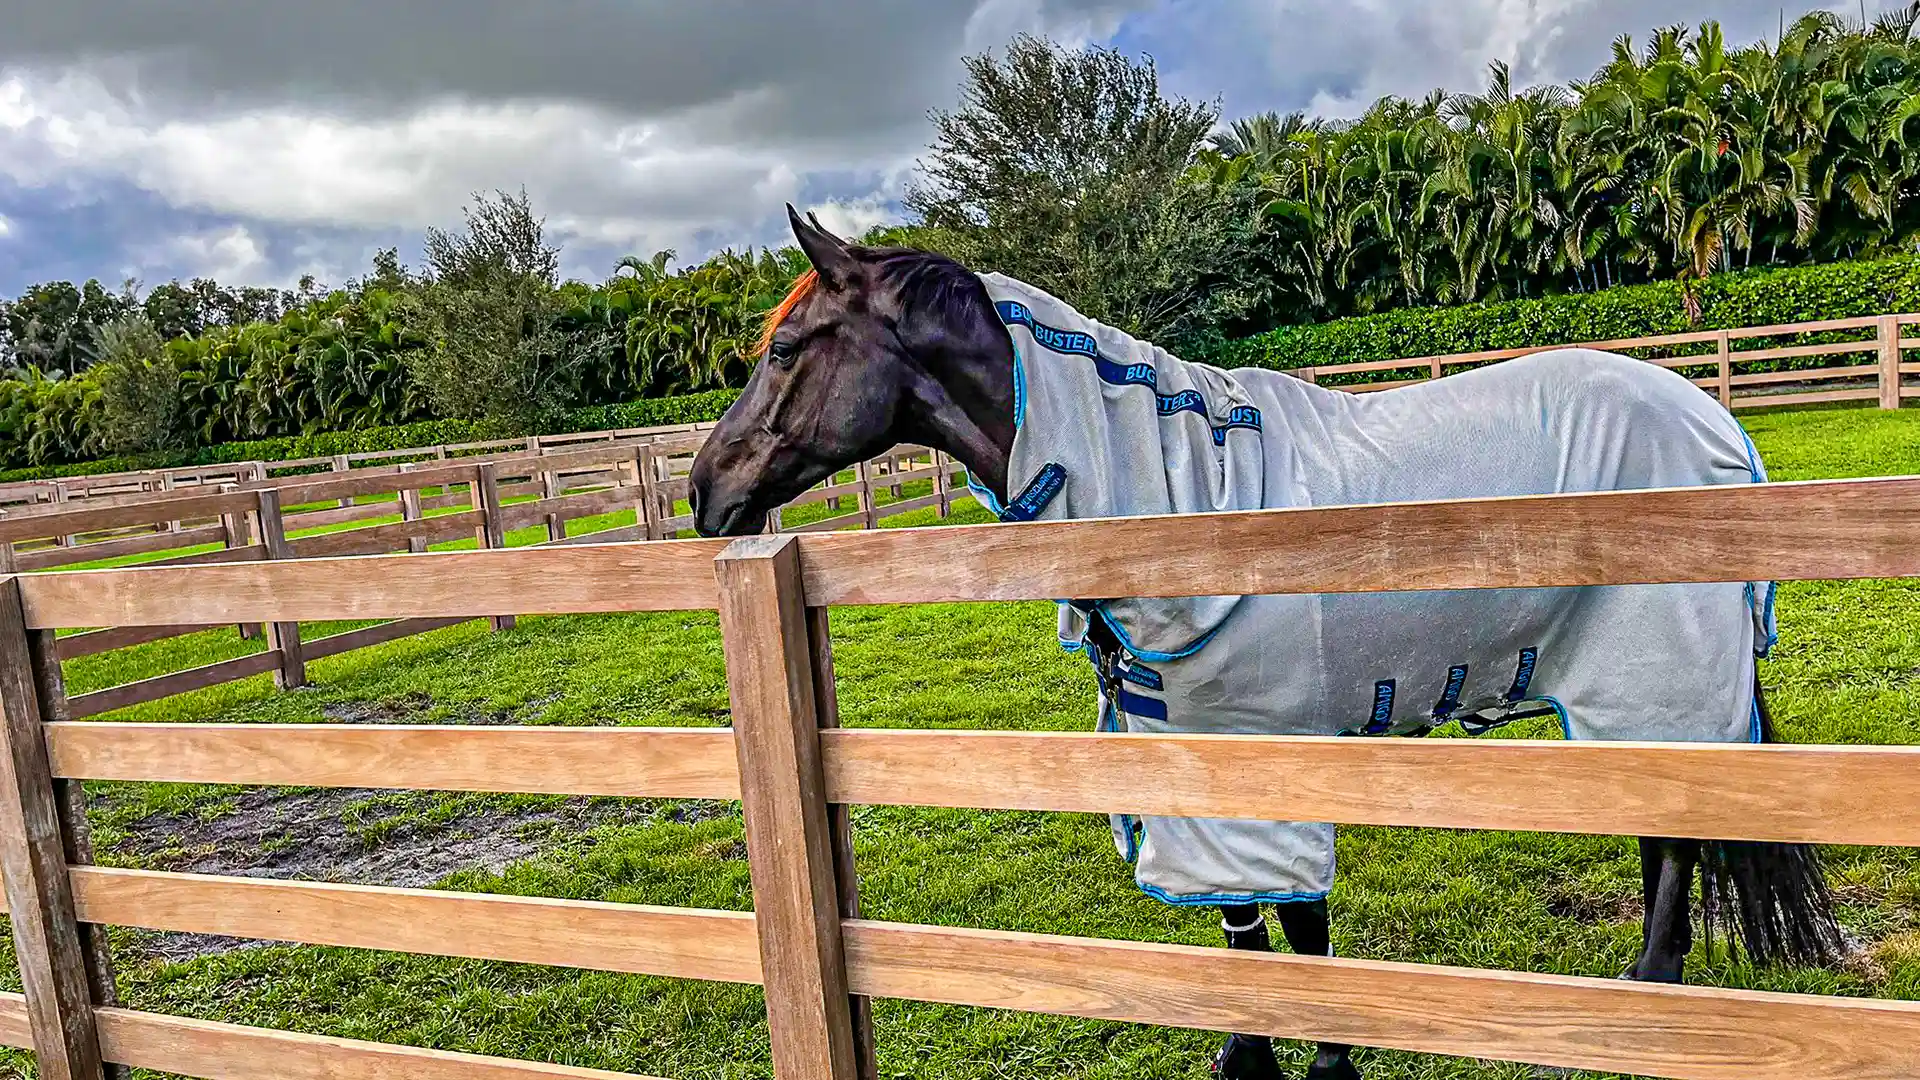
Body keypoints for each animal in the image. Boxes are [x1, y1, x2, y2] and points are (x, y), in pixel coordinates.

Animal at [690, 206, 1845, 1080]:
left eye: (784, 350)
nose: (706, 493)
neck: (1180, 495)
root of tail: (1710, 418)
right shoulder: (1193, 751)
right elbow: (1247, 922)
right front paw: (1254, 1054)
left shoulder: (1260, 738)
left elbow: (1296, 926)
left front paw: (1315, 1058)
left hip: (1655, 676)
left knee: (1674, 843)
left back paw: (1650, 1002)